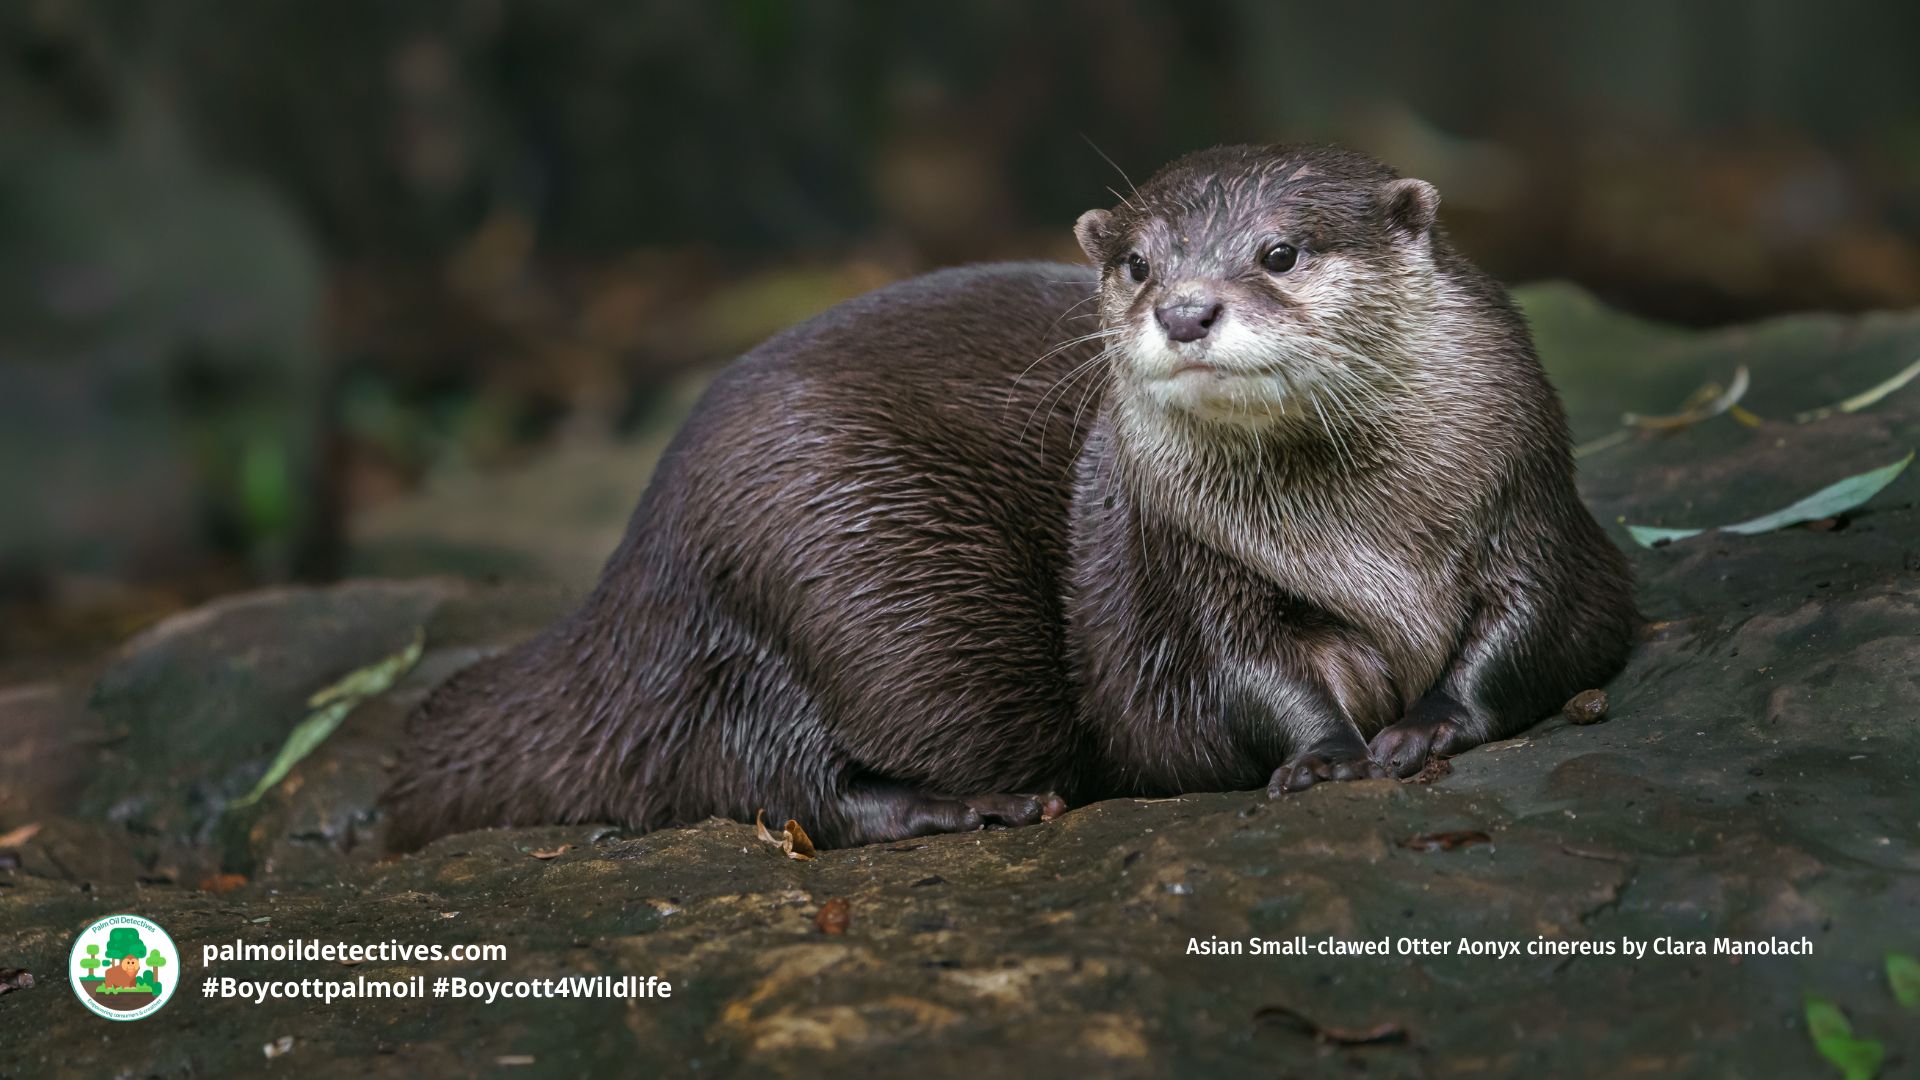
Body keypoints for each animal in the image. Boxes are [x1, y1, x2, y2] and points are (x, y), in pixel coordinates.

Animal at [384, 144, 1636, 850]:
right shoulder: (1189, 572)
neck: (1364, 538)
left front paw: (1428, 721)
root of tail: (632, 574)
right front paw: (1328, 752)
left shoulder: (1531, 502)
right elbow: (1240, 676)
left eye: (1281, 251)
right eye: (1136, 262)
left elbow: (1543, 629)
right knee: (776, 783)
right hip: (835, 569)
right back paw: (970, 807)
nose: (1184, 308)